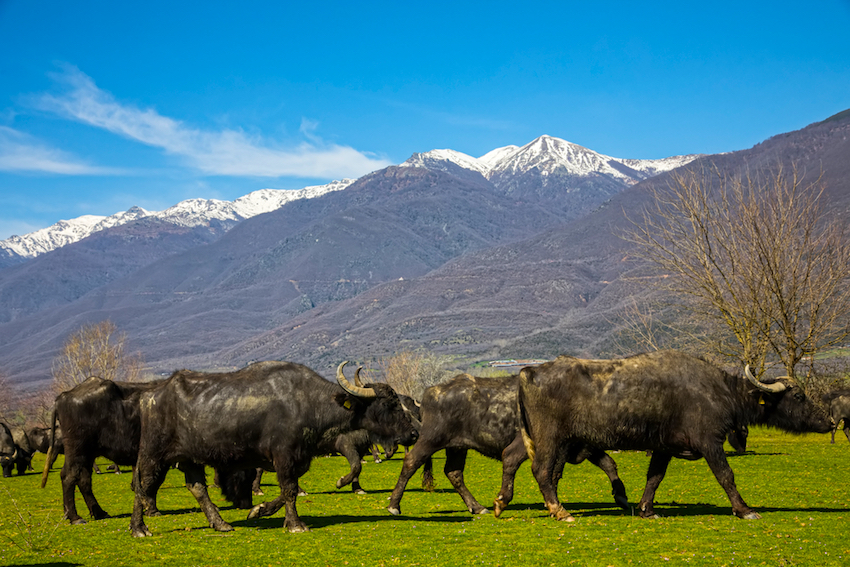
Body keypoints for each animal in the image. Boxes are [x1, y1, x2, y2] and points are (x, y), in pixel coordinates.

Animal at [129, 360, 418, 536]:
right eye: (390, 404)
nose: (414, 433)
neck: (308, 403)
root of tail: (151, 394)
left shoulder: (298, 458)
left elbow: (287, 490)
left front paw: (260, 510)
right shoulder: (284, 455)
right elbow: (289, 489)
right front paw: (296, 524)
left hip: (190, 459)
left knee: (197, 488)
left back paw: (220, 523)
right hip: (153, 456)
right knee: (142, 487)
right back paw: (138, 528)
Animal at [388, 372, 628, 520]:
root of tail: (431, 392)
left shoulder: (584, 445)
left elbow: (609, 464)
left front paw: (621, 497)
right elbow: (550, 472)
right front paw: (552, 505)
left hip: (458, 446)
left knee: (454, 473)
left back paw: (477, 507)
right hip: (430, 439)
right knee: (411, 462)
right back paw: (394, 505)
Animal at [516, 352, 828, 520]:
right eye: (799, 396)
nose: (828, 420)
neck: (719, 391)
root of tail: (529, 371)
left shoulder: (663, 447)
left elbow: (654, 477)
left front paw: (646, 509)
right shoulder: (710, 442)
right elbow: (726, 475)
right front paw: (744, 509)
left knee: (552, 474)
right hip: (550, 440)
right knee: (542, 471)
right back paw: (560, 511)